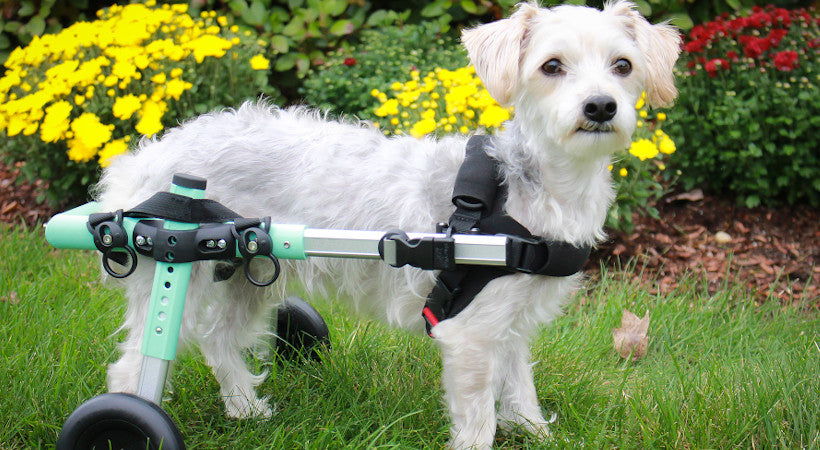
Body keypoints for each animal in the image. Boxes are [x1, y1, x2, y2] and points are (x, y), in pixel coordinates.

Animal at [96, 1, 680, 448]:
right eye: (551, 66)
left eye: (623, 65)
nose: (601, 106)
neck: (530, 190)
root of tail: (147, 159)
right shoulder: (471, 335)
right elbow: (480, 419)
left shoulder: (509, 324)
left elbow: (521, 393)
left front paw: (537, 432)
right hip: (179, 266)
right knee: (133, 368)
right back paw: (129, 420)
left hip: (250, 268)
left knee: (220, 340)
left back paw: (246, 408)